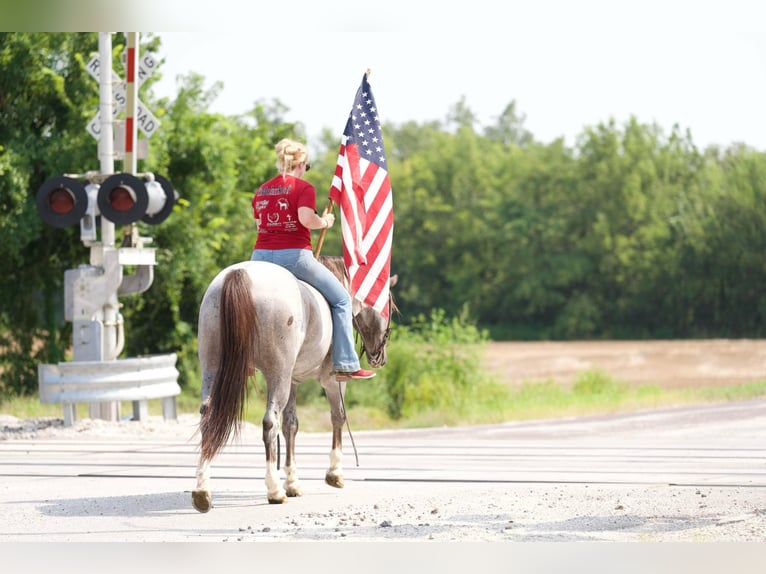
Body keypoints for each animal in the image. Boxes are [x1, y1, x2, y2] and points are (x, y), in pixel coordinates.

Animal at [192, 256, 400, 512]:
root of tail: (241, 275)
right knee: (270, 423)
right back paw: (274, 490)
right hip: (277, 373)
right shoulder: (332, 381)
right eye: (391, 306)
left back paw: (202, 490)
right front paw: (334, 473)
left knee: (208, 417)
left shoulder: (292, 381)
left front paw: (292, 482)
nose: (380, 357)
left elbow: (291, 425)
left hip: (213, 367)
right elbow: (338, 417)